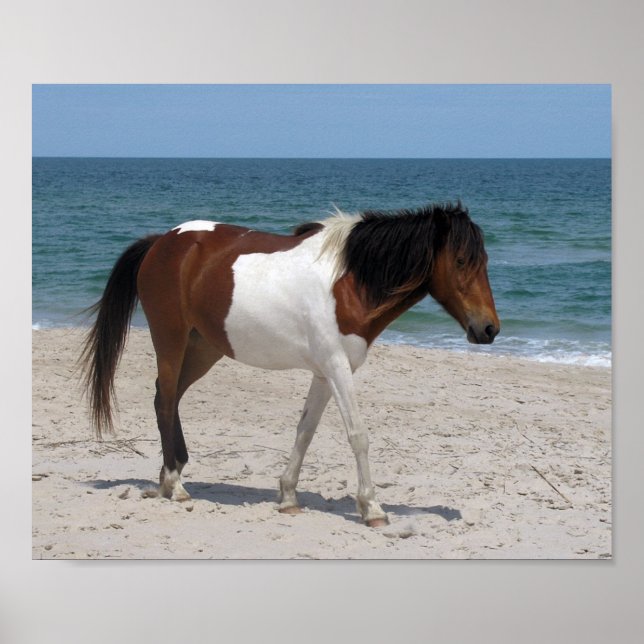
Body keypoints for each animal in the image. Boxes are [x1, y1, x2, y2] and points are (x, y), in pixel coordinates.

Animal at [80, 202, 500, 527]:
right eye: (462, 260)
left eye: (485, 261)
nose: (489, 329)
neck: (349, 283)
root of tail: (162, 241)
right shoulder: (336, 368)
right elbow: (358, 435)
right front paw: (372, 508)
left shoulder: (324, 373)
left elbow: (305, 432)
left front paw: (287, 497)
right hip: (171, 339)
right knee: (166, 401)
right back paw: (176, 485)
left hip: (202, 348)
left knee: (165, 399)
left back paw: (170, 477)